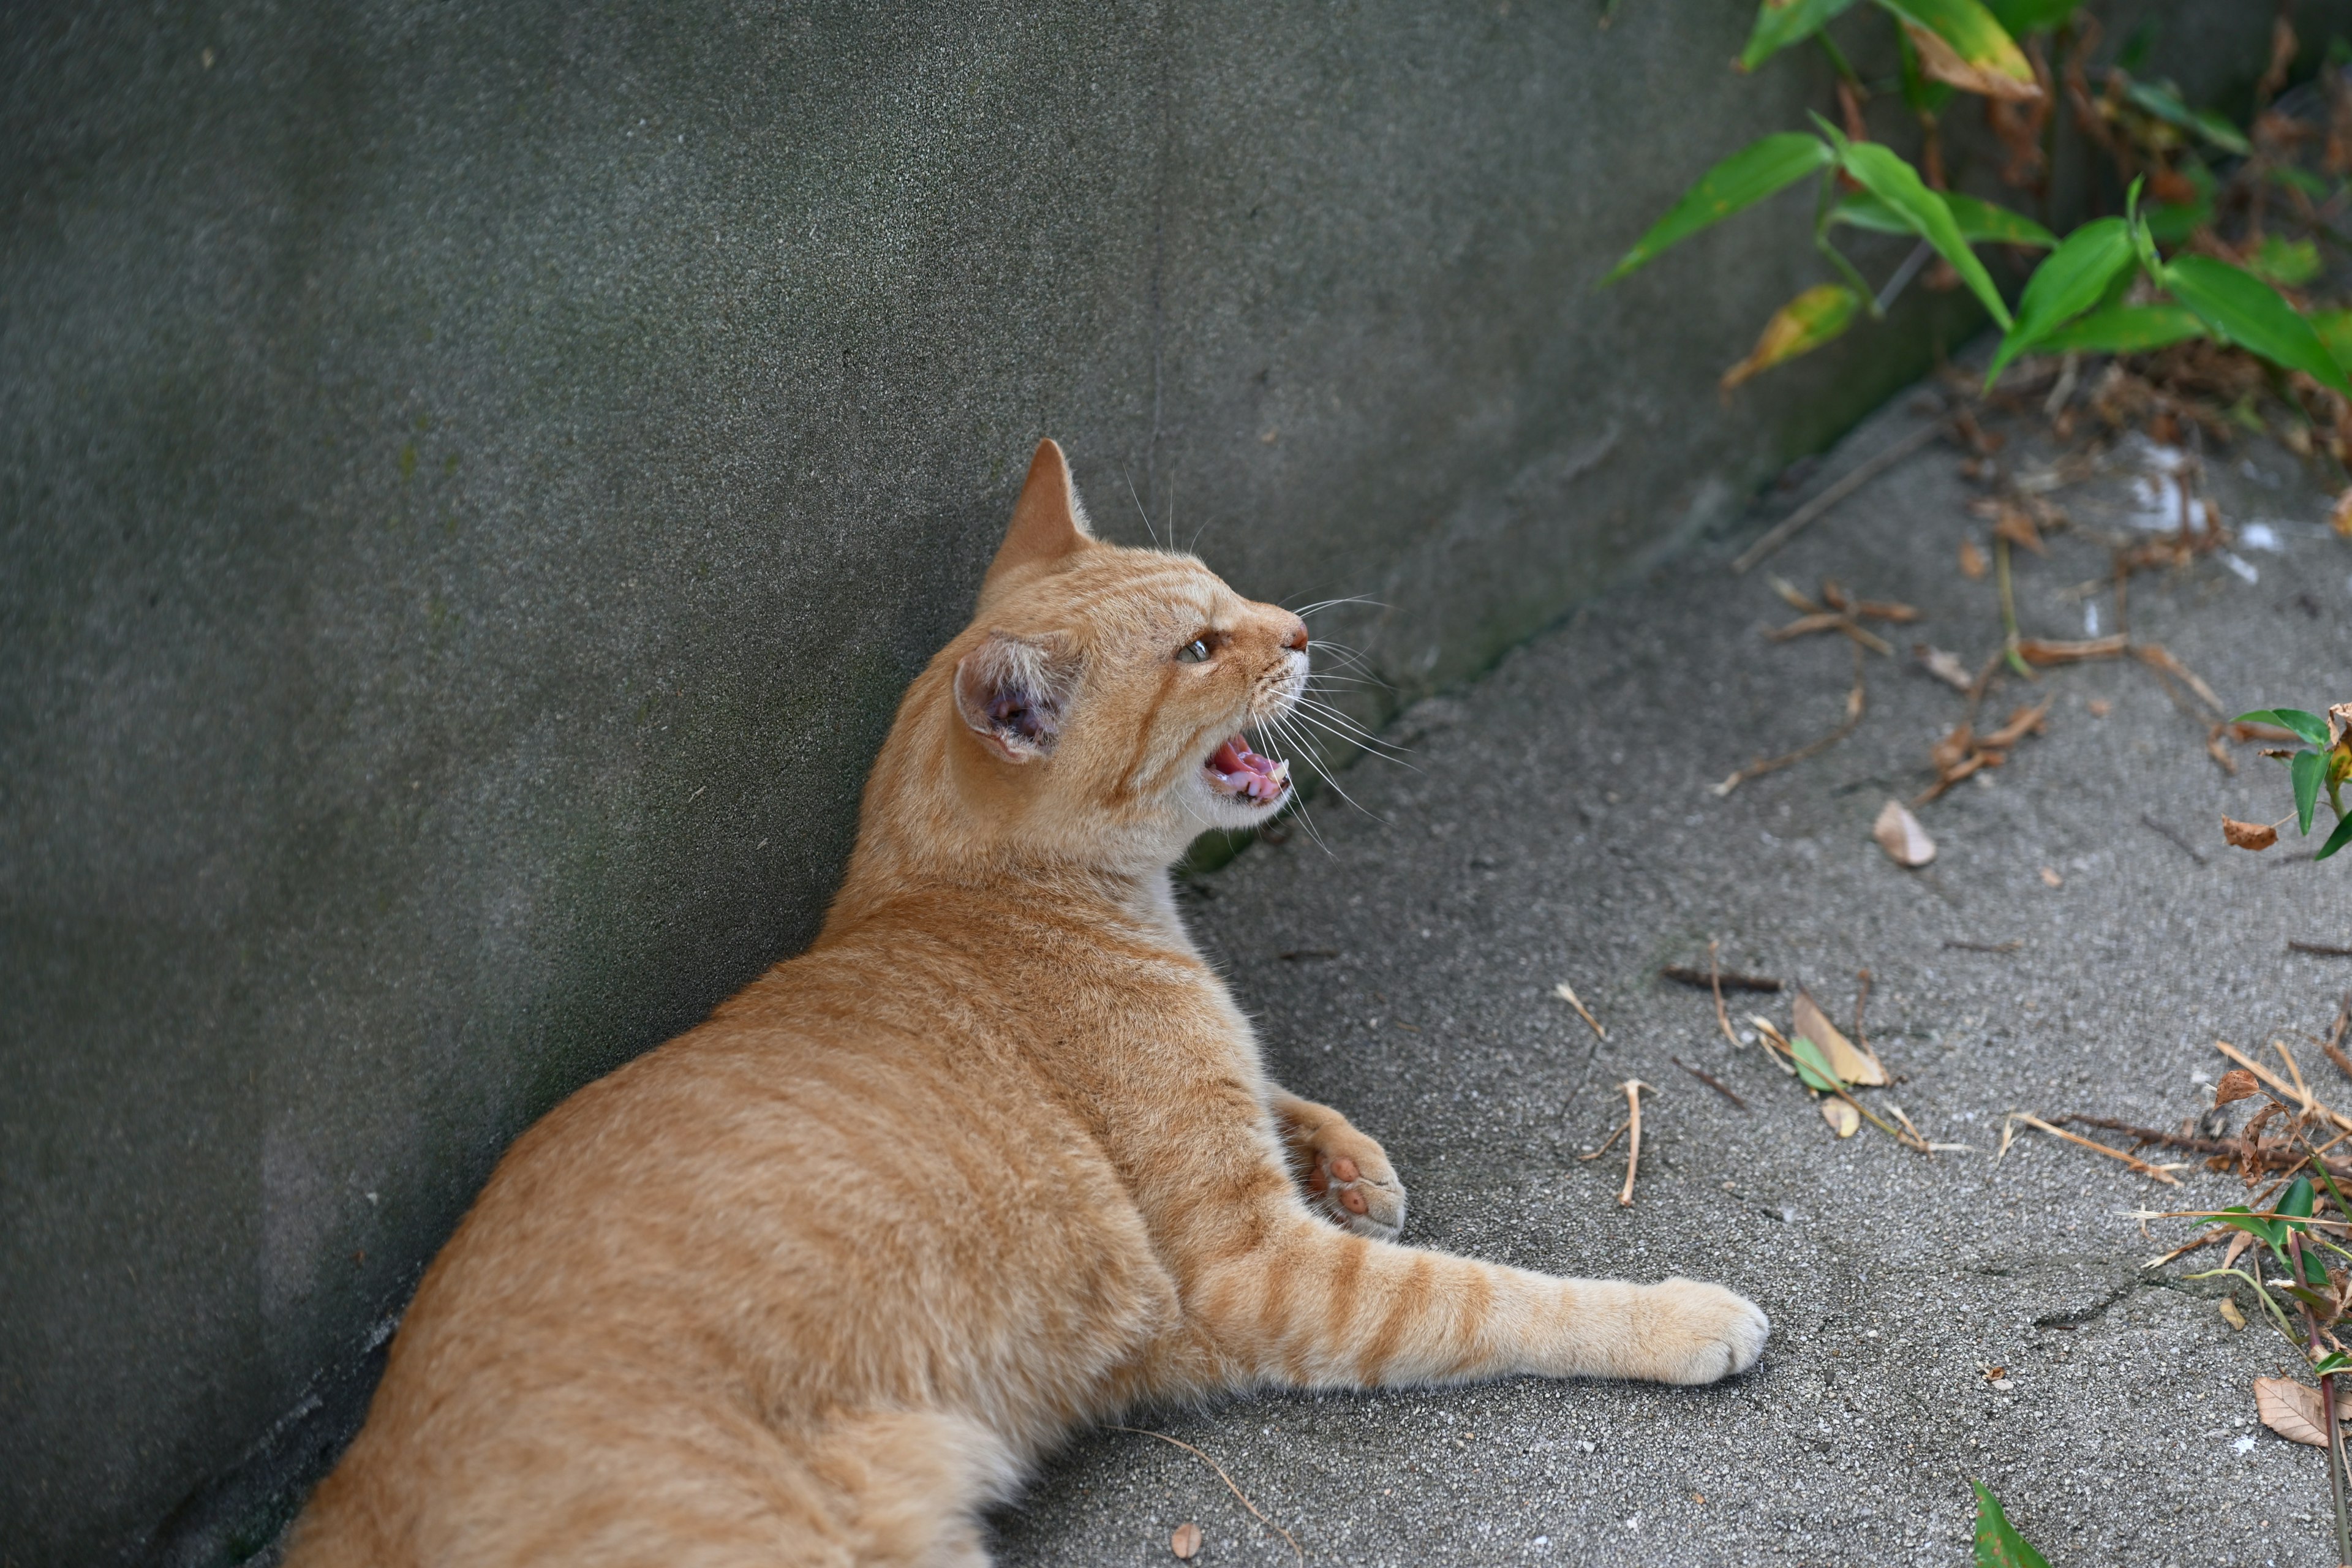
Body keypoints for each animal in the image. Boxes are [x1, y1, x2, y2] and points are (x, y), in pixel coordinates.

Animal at [289, 442, 1768, 1568]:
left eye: (1230, 595)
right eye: (1199, 645)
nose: (1301, 629)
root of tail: (355, 1488)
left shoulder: (1241, 1118)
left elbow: (1276, 1082)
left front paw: (1352, 1160)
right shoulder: (1259, 1269)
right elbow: (1493, 1297)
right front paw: (1680, 1318)